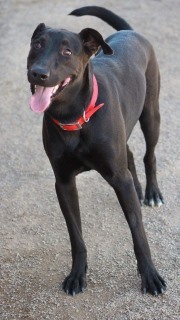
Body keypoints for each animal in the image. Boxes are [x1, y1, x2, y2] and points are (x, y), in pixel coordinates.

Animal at [26, 5, 166, 296]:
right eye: (37, 44)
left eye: (67, 52)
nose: (38, 73)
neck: (73, 115)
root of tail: (129, 32)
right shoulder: (64, 183)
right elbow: (76, 236)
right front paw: (77, 275)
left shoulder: (118, 178)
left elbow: (138, 232)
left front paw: (150, 276)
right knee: (130, 155)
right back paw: (139, 189)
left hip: (151, 116)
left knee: (149, 155)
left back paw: (151, 193)